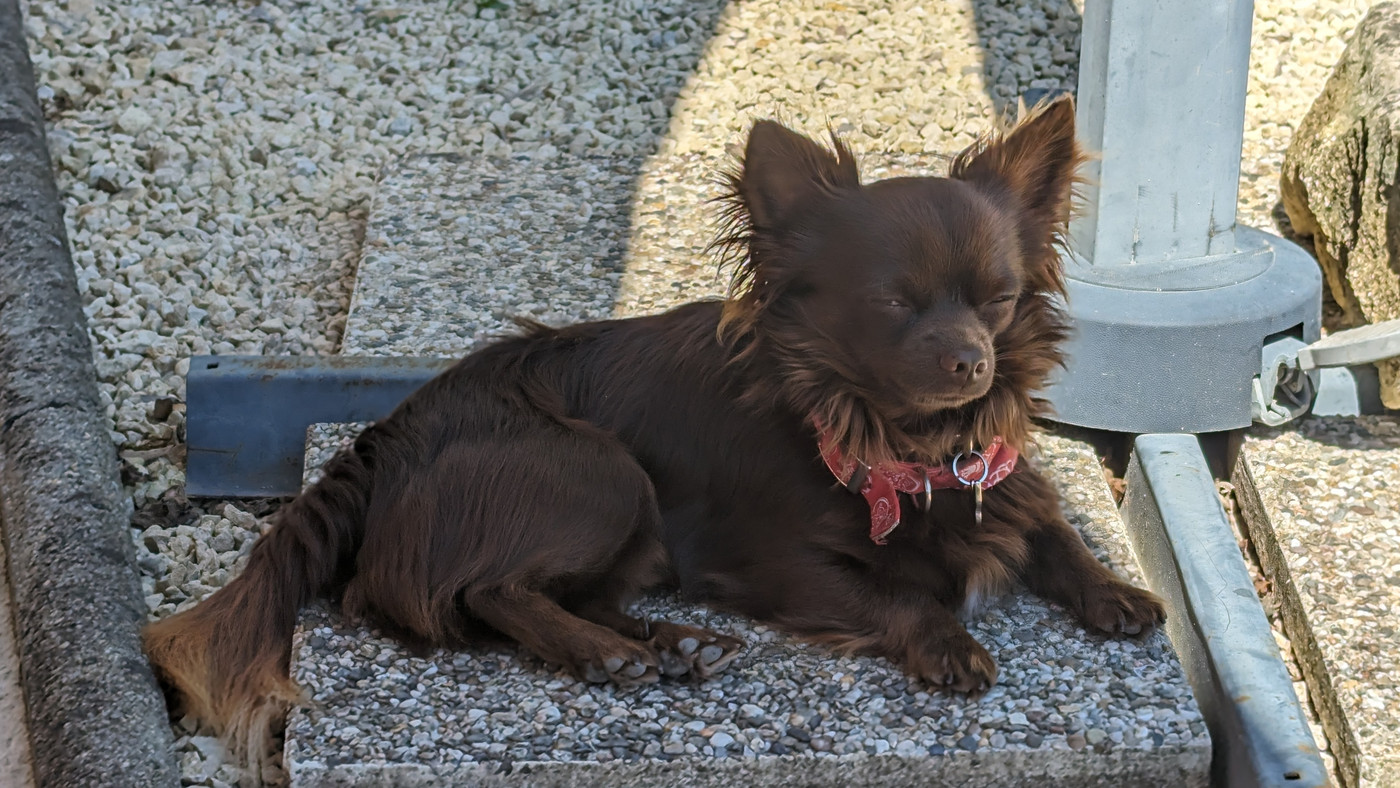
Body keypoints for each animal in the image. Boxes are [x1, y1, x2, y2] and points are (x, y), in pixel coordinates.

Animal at [144, 98, 1170, 755]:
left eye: (998, 301)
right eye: (891, 303)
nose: (971, 363)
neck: (908, 446)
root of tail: (385, 435)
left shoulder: (1000, 475)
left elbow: (1051, 526)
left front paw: (1115, 588)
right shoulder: (773, 561)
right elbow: (897, 595)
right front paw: (949, 640)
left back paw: (676, 643)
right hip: (601, 472)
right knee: (485, 592)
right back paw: (607, 653)